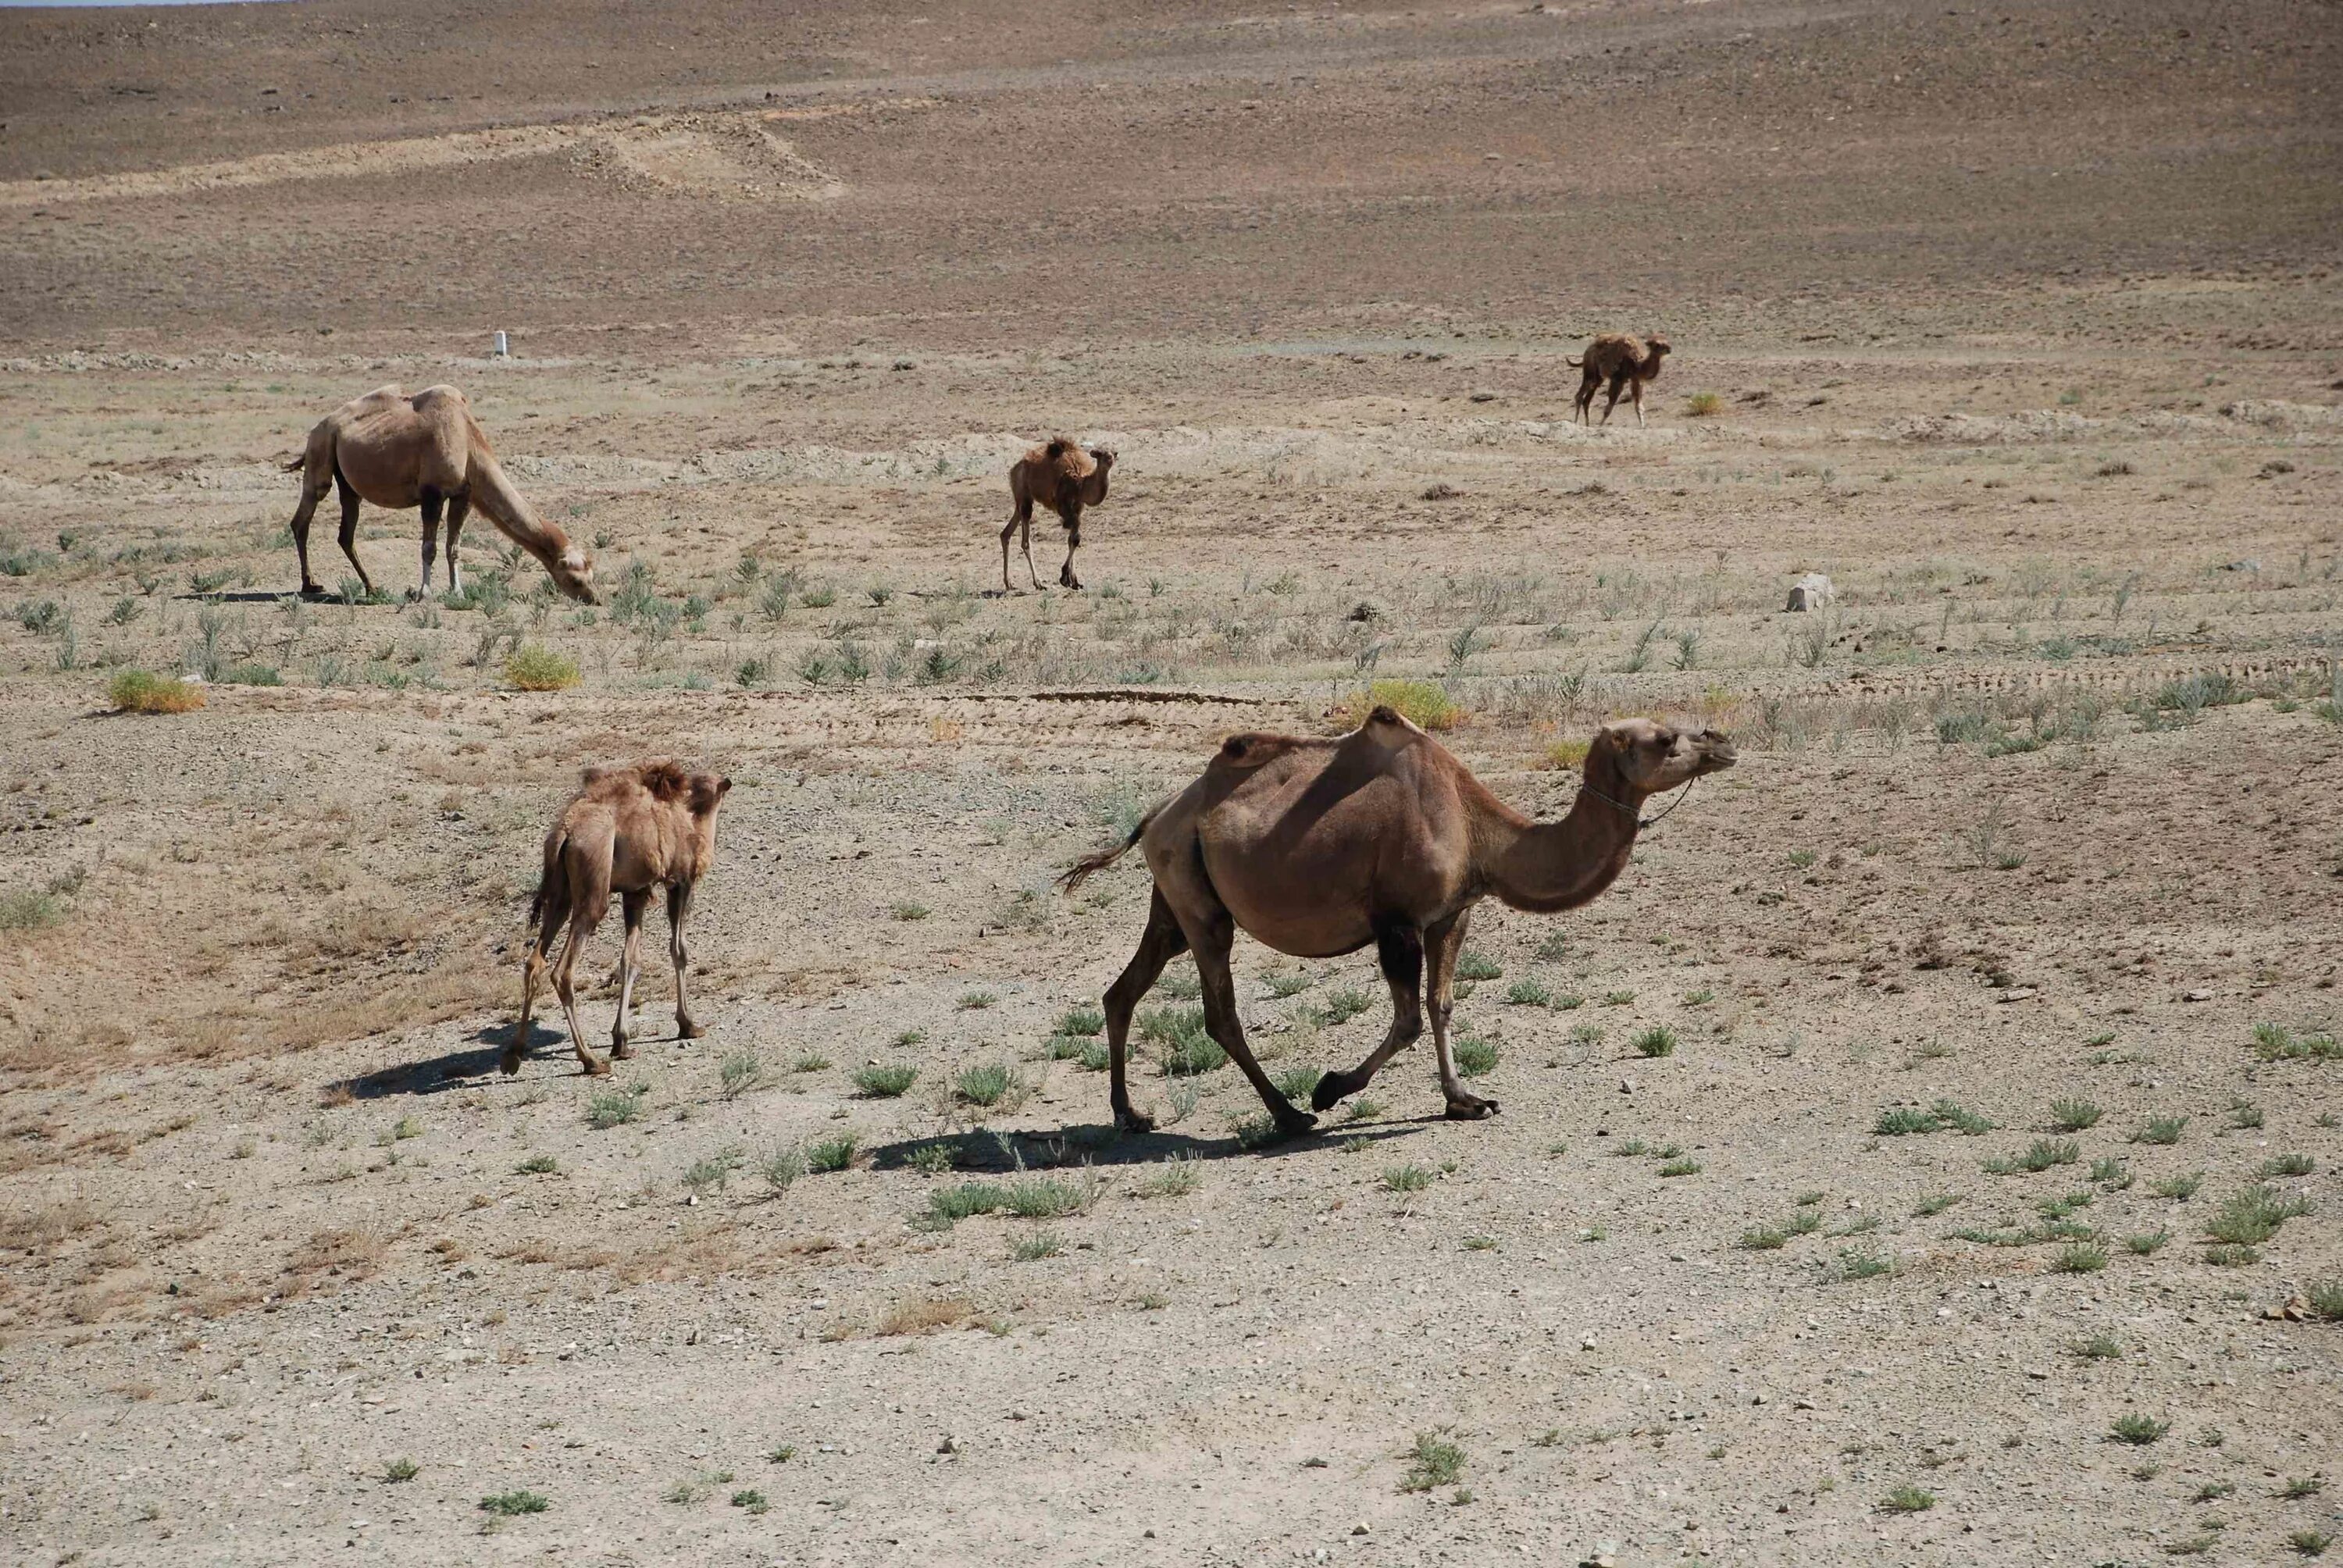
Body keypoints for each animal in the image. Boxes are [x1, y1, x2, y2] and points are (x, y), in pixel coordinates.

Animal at [284, 382, 600, 604]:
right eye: (576, 580)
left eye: (591, 576)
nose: (594, 599)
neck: (469, 443)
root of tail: (321, 425)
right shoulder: (432, 493)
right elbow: (430, 547)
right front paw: (424, 593)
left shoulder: (463, 495)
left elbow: (453, 548)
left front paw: (457, 592)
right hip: (321, 450)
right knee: (304, 514)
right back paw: (310, 584)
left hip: (348, 482)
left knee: (346, 533)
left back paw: (371, 588)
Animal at [515, 759, 726, 1078]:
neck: (693, 818)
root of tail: (565, 833)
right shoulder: (679, 882)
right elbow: (679, 951)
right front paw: (688, 1024)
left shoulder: (635, 893)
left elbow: (630, 961)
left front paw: (621, 1041)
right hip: (593, 887)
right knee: (563, 971)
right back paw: (590, 1060)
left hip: (561, 896)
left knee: (535, 961)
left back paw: (513, 1056)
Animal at [998, 438, 1115, 590]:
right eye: (1100, 454)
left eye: (1113, 452)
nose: (1111, 458)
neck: (1081, 484)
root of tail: (1015, 468)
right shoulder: (1065, 508)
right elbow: (1075, 539)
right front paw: (1065, 578)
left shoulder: (1077, 507)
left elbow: (1073, 540)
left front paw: (1074, 581)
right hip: (1024, 495)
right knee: (1025, 541)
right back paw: (1038, 583)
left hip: (1021, 500)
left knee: (1006, 533)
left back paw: (1009, 583)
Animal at [1064, 712, 1743, 1139]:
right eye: (1665, 739)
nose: (1723, 742)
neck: (1479, 831)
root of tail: (1159, 812)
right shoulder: (1397, 923)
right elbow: (1410, 1019)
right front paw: (1329, 1088)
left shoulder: (1451, 915)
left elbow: (1442, 1007)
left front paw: (1466, 1100)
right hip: (1201, 907)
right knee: (1220, 1013)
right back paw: (1288, 1115)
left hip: (1174, 899)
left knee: (1123, 991)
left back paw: (1129, 1115)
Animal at [1565, 333, 1678, 424]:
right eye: (1657, 345)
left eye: (1666, 342)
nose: (1670, 349)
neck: (1637, 364)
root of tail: (1588, 349)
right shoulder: (1618, 379)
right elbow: (1609, 407)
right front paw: (1600, 425)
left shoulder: (1635, 379)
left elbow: (1639, 407)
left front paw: (1642, 426)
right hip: (1591, 370)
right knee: (1580, 395)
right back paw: (1576, 422)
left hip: (1599, 377)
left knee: (1587, 400)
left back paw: (1587, 425)